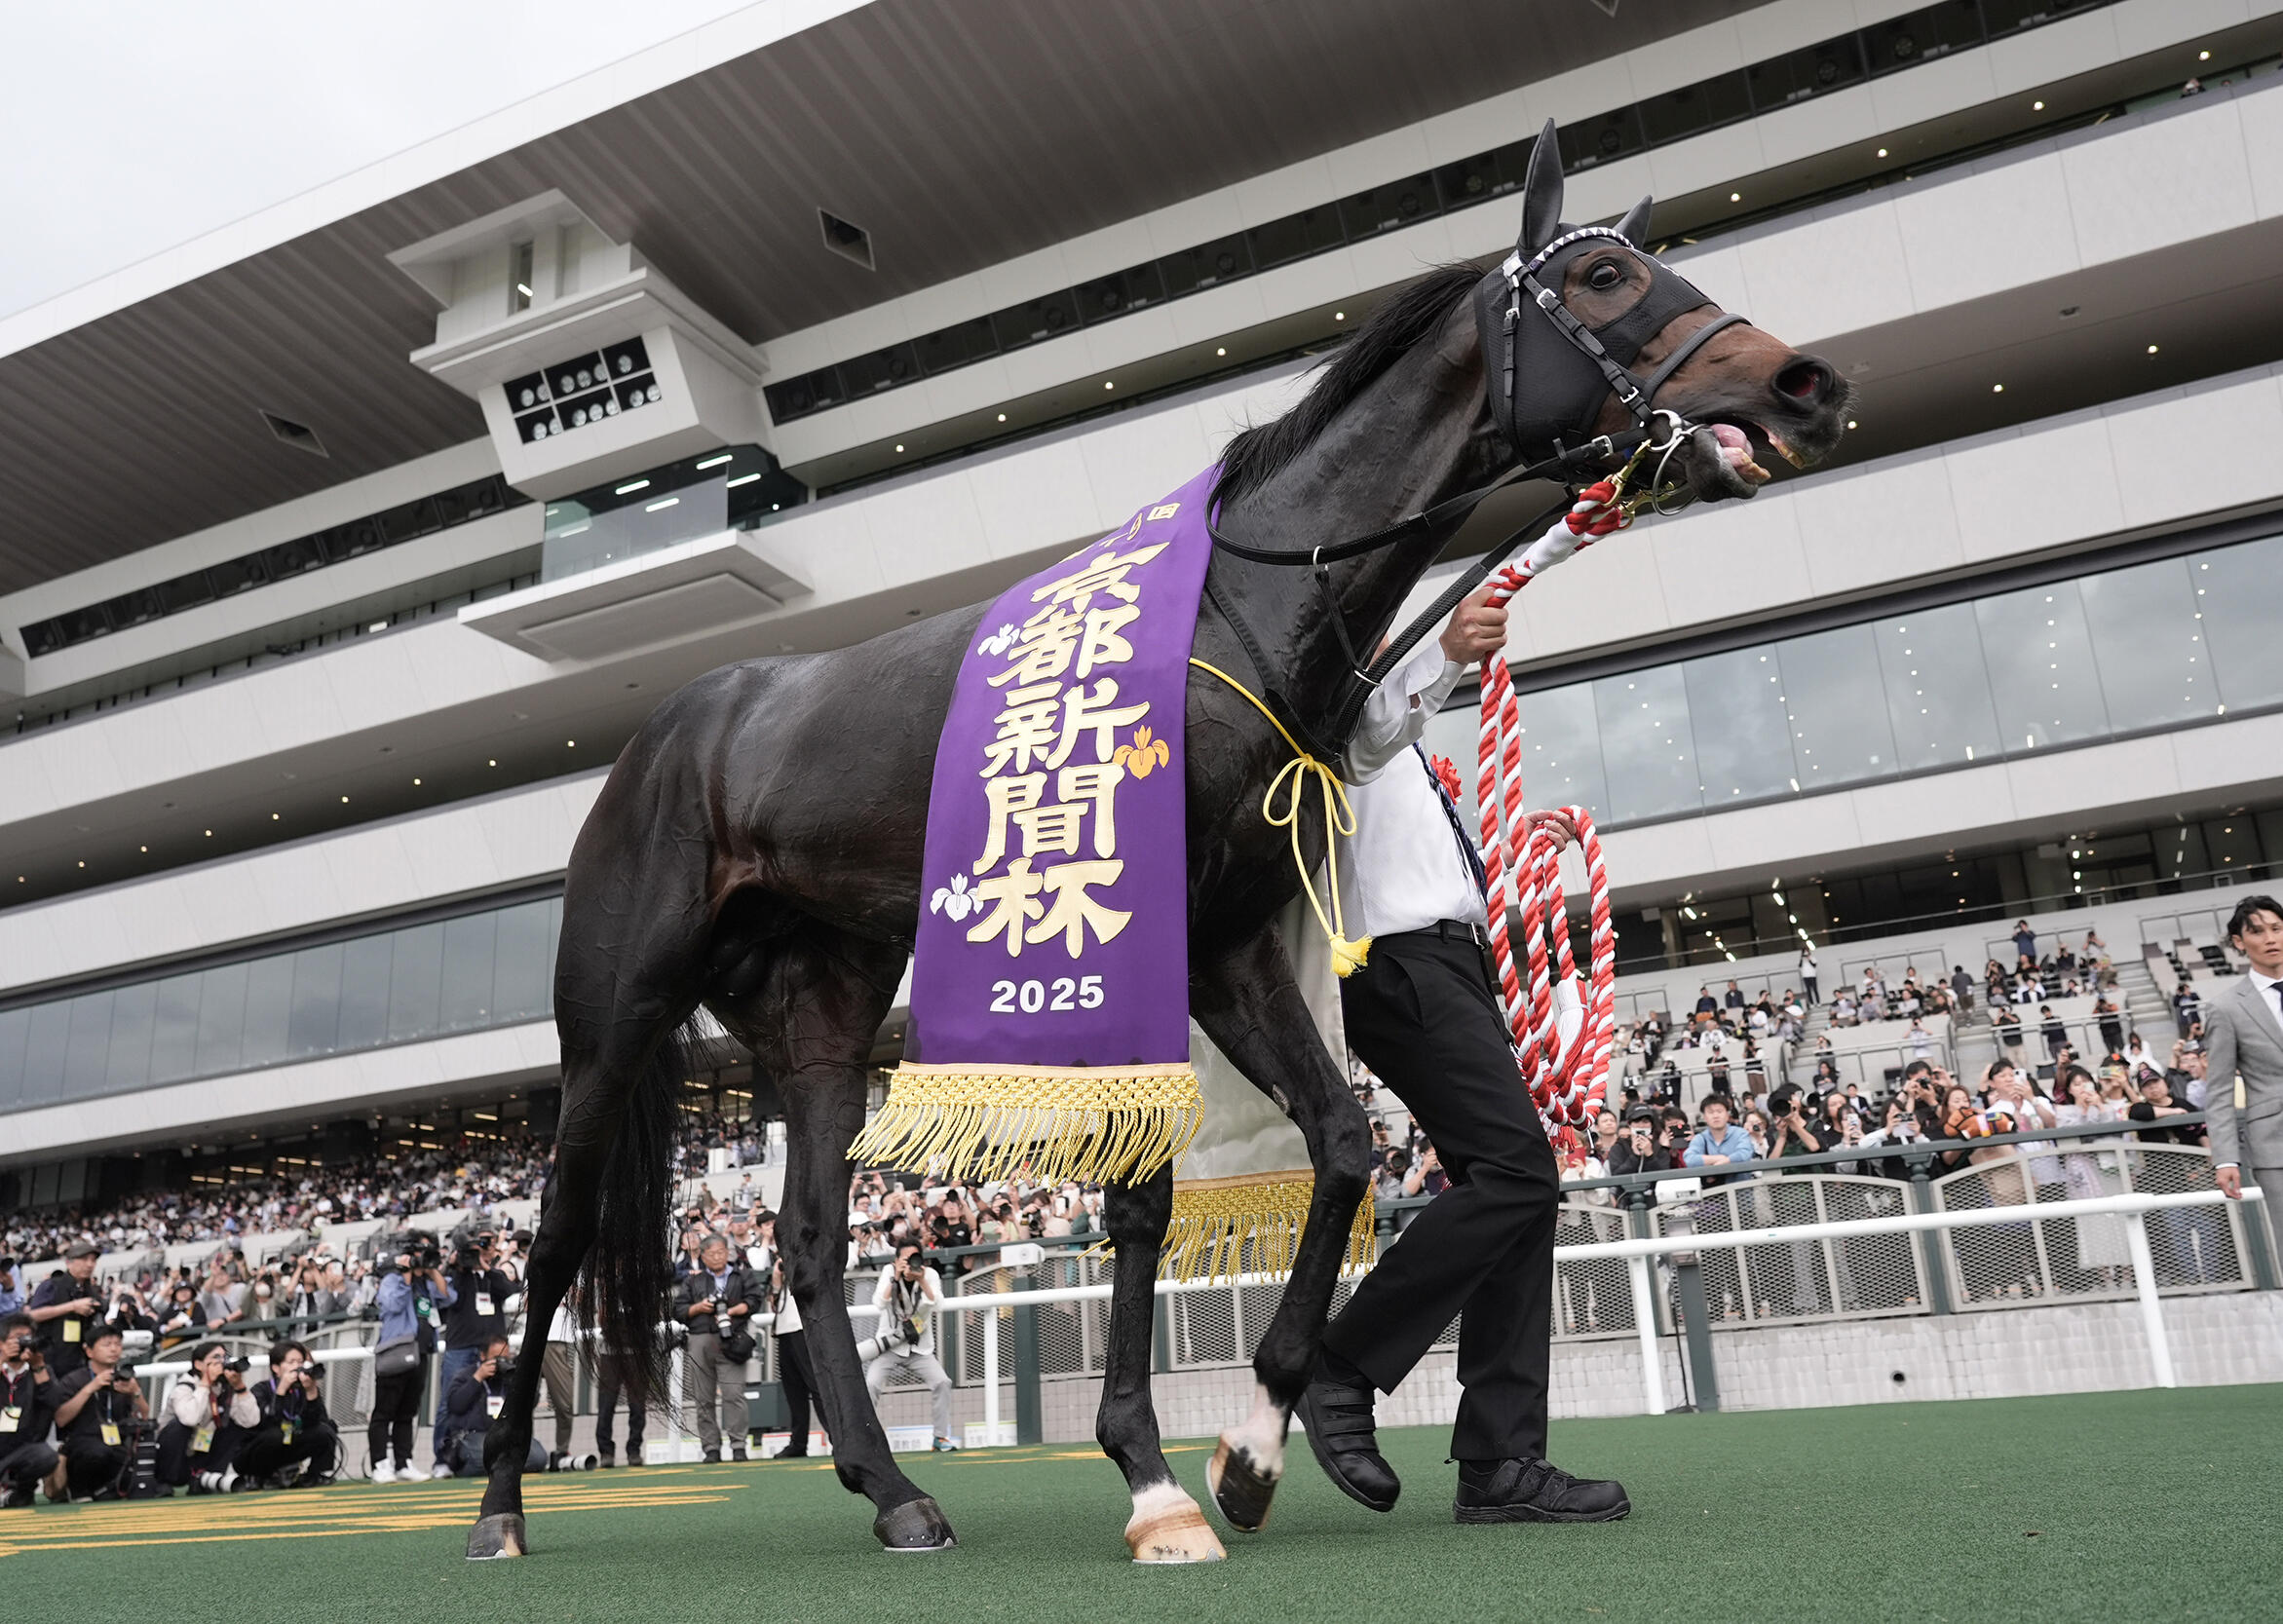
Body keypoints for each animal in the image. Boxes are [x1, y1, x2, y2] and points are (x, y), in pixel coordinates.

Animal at [463, 123, 1850, 1563]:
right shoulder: (1148, 944)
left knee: (805, 1237)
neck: (1228, 610)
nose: (1804, 383)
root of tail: (667, 731)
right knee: (558, 1238)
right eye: (1599, 274)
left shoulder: (1228, 945)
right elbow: (1139, 1195)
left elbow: (1338, 1144)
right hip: (612, 1018)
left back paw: (893, 1488)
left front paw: (1255, 1440)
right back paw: (500, 1504)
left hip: (822, 1020)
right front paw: (1152, 1474)